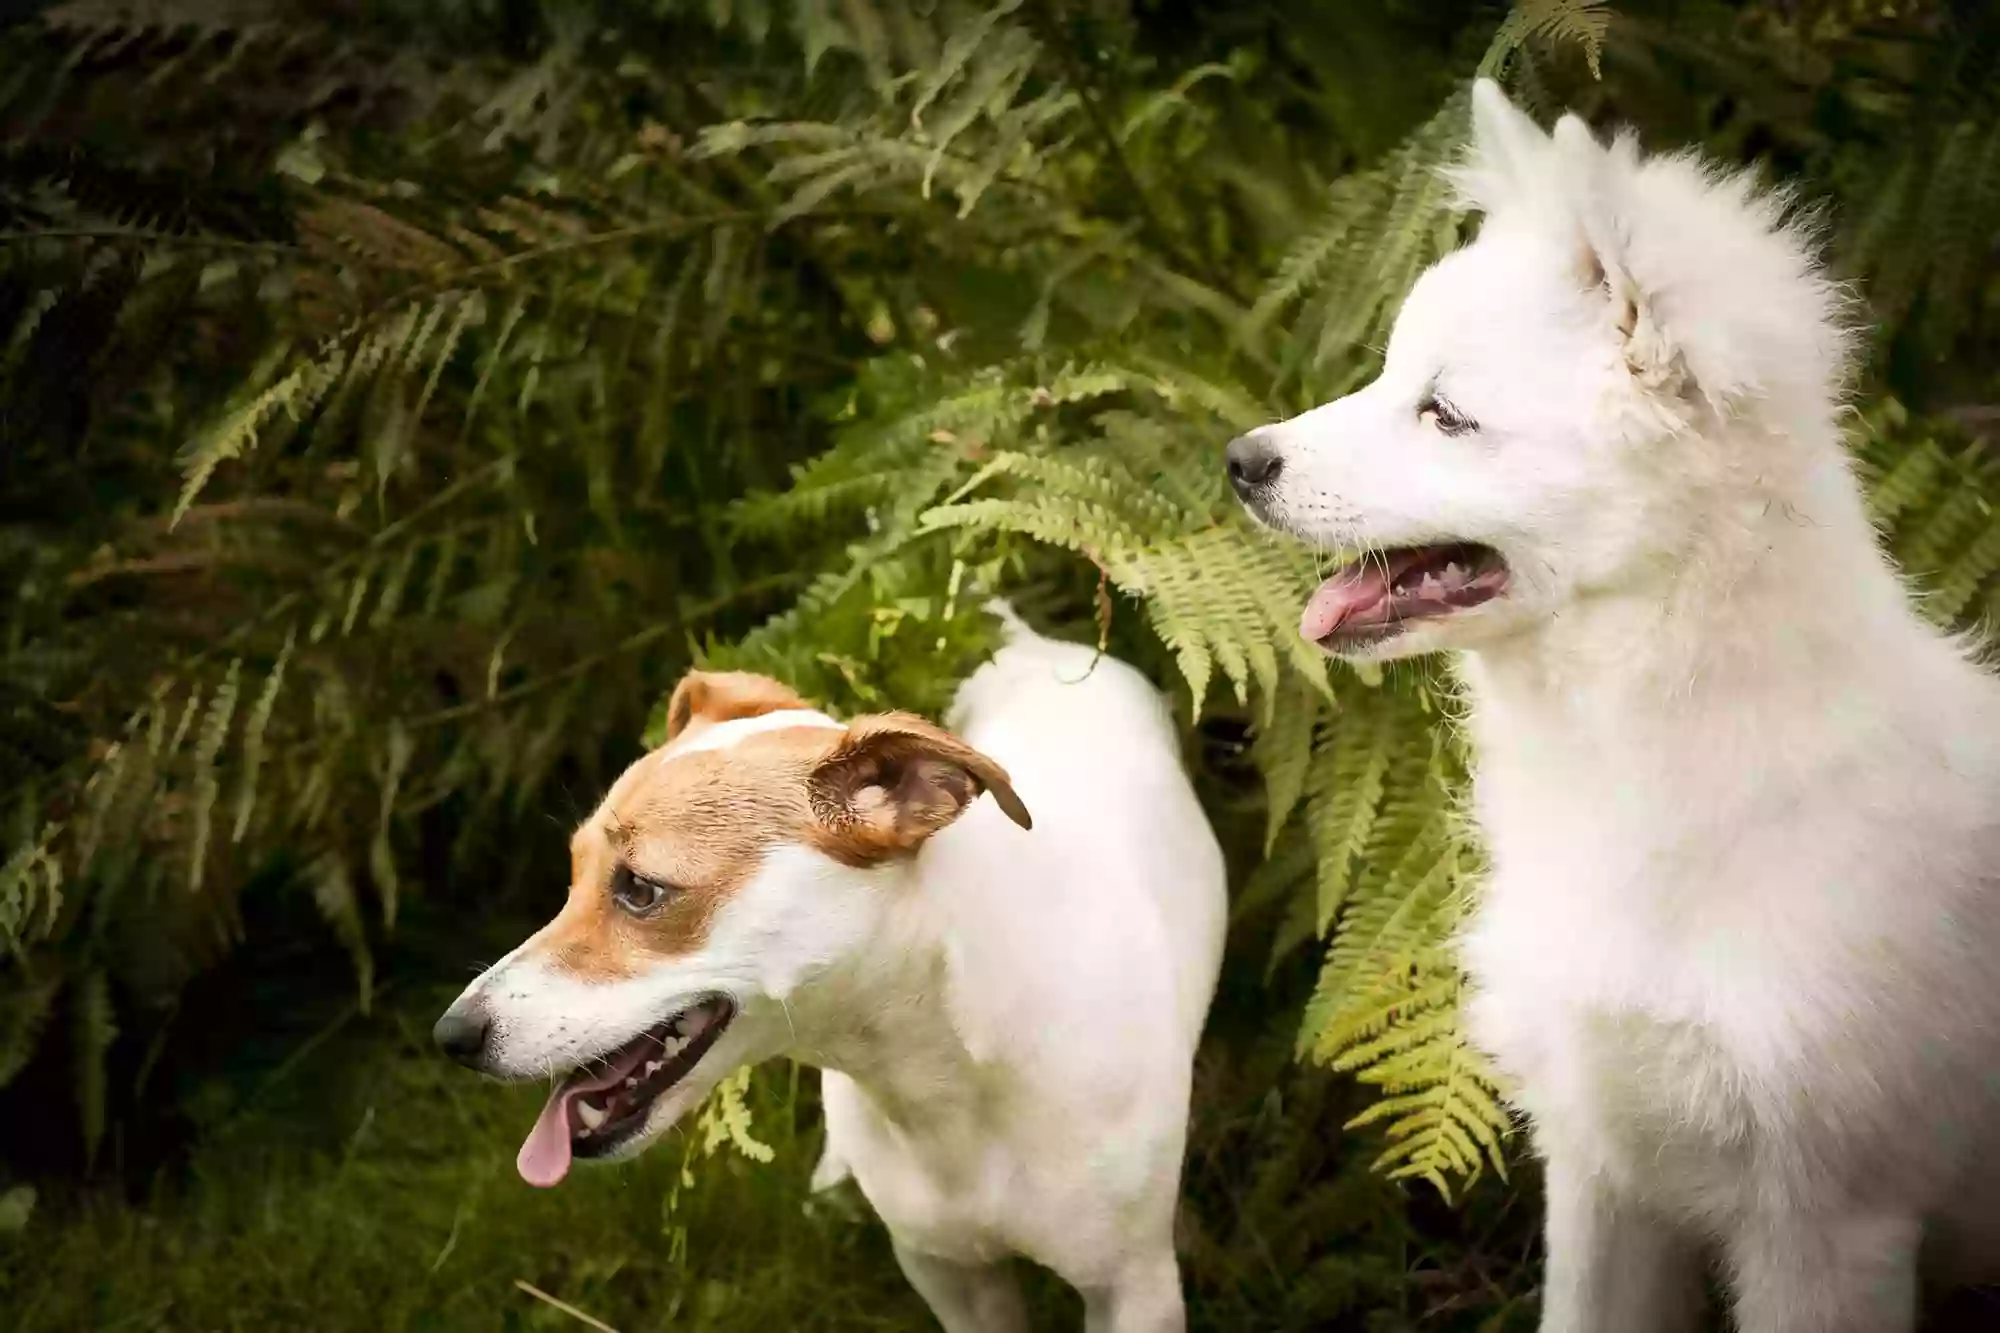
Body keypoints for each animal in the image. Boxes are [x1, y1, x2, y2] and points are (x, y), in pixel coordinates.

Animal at [430, 608, 1224, 1320]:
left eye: (640, 889)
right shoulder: (950, 1275)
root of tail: (1033, 643)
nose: (453, 1035)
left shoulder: (1130, 1291)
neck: (944, 1077)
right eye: (572, 875)